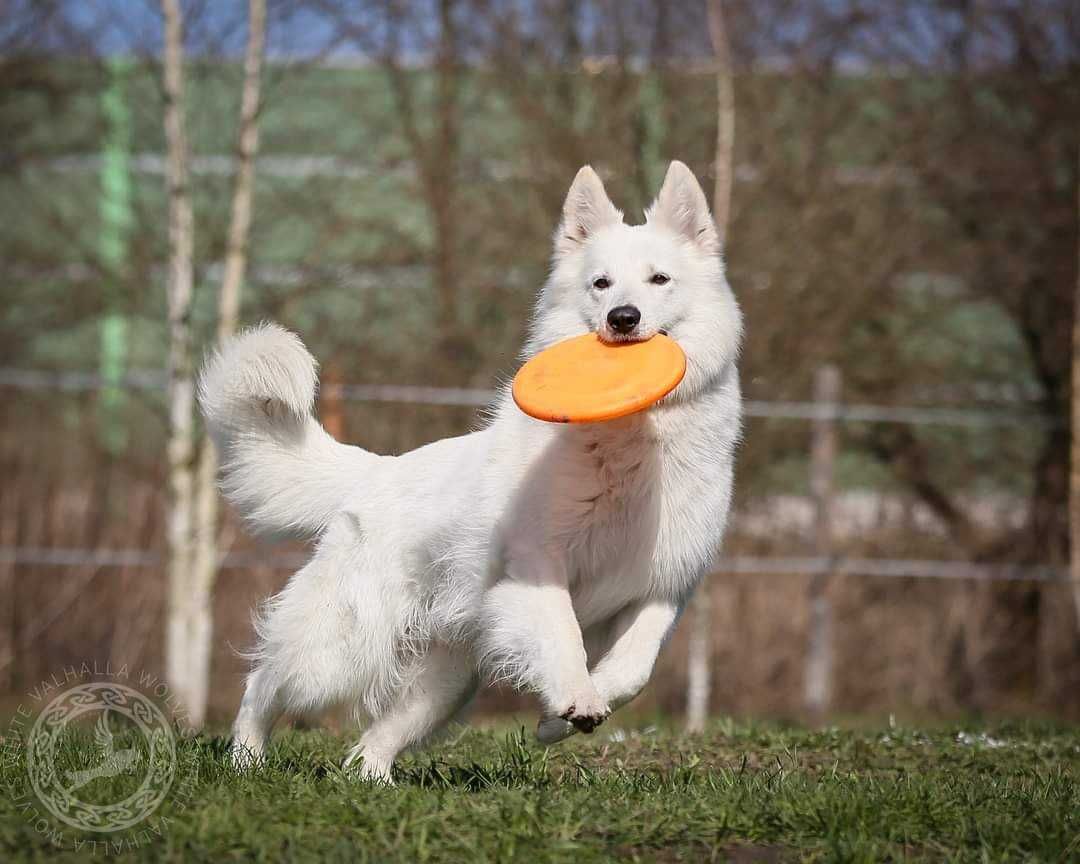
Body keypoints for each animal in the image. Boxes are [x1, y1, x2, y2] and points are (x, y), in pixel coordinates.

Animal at [198, 158, 743, 777]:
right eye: (601, 283)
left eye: (659, 280)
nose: (622, 319)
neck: (630, 439)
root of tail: (375, 472)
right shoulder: (538, 565)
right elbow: (564, 636)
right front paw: (574, 698)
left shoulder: (663, 586)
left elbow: (633, 669)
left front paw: (560, 719)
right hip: (337, 652)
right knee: (263, 684)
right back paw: (245, 760)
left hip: (446, 680)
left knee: (373, 741)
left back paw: (373, 783)